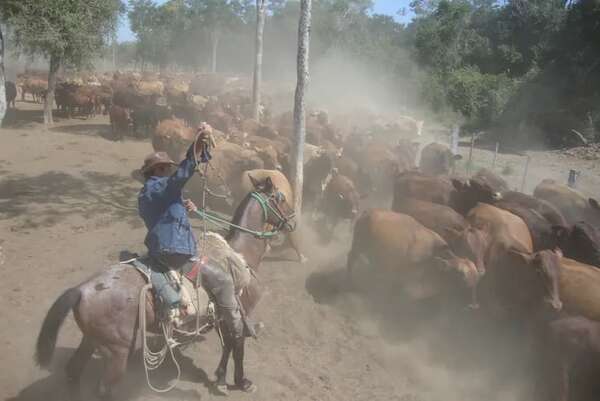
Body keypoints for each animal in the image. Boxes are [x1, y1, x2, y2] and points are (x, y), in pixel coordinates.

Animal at [33, 176, 296, 400]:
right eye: (281, 197)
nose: (293, 221)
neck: (240, 254)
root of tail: (83, 290)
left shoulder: (223, 316)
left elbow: (229, 344)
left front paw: (221, 377)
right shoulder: (236, 311)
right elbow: (236, 344)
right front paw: (240, 381)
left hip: (91, 340)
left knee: (73, 371)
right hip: (116, 353)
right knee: (104, 388)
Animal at [346, 208, 478, 304]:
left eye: (476, 276)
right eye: (460, 274)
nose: (473, 304)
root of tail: (368, 212)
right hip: (358, 246)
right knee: (351, 259)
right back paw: (351, 284)